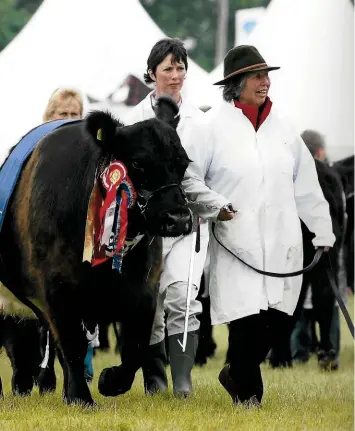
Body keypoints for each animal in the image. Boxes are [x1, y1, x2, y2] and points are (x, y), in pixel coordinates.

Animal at [0, 96, 192, 406]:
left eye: (183, 163)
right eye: (137, 162)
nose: (179, 218)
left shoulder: (144, 291)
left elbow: (136, 347)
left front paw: (109, 381)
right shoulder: (57, 289)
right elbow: (73, 346)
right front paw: (81, 397)